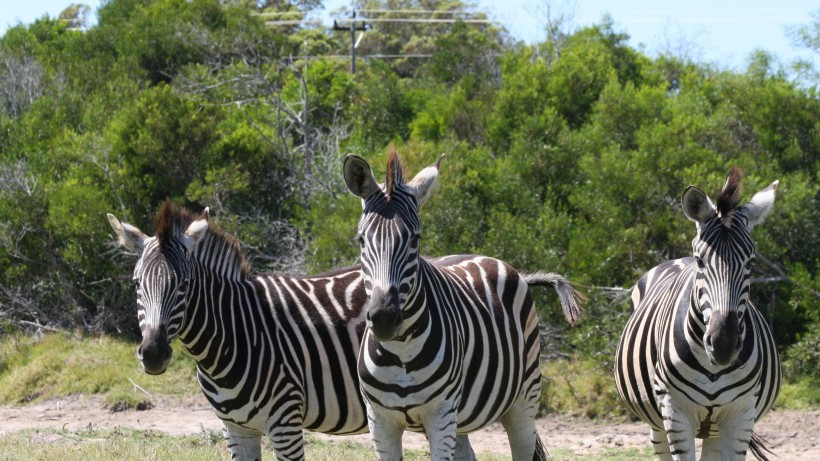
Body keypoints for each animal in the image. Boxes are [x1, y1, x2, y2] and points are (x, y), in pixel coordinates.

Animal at [105, 201, 478, 460]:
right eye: (136, 283)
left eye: (183, 285)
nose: (153, 354)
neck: (234, 333)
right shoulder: (235, 429)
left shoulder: (285, 422)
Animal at [342, 149, 588, 458]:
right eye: (362, 240)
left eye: (415, 239)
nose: (385, 318)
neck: (401, 352)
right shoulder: (380, 421)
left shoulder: (441, 415)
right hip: (461, 420)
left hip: (524, 397)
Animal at [616, 169, 780, 460]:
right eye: (700, 260)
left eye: (750, 262)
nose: (723, 344)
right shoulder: (675, 413)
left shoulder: (740, 416)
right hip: (657, 423)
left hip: (714, 429)